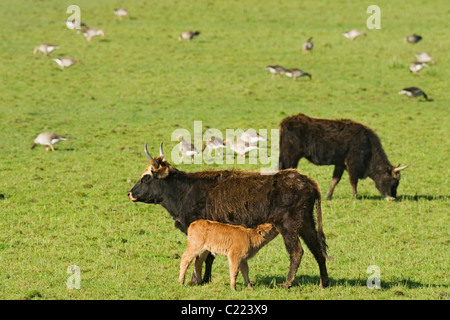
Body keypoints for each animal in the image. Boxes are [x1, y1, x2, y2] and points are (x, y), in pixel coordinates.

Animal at [128, 142, 332, 288]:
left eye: (146, 177)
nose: (130, 193)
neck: (185, 190)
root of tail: (307, 181)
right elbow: (208, 256)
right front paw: (205, 279)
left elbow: (199, 257)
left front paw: (194, 280)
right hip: (306, 224)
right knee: (317, 250)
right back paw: (324, 282)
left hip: (289, 227)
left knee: (297, 252)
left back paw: (287, 283)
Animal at [278, 114, 408, 201]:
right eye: (394, 182)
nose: (392, 199)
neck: (368, 144)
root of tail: (286, 120)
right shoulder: (352, 163)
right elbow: (353, 181)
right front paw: (355, 197)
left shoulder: (340, 164)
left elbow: (335, 180)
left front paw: (328, 196)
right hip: (290, 157)